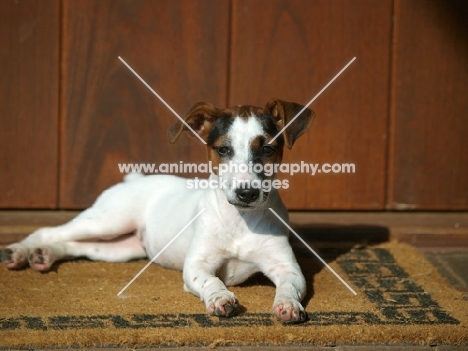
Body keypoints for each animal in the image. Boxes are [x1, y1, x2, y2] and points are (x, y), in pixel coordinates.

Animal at [2, 99, 314, 324]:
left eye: (268, 150)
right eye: (223, 150)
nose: (247, 193)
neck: (241, 221)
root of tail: (135, 179)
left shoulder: (288, 268)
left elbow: (289, 286)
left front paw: (287, 305)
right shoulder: (196, 265)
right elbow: (211, 280)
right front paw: (220, 298)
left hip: (120, 249)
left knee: (74, 245)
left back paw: (44, 255)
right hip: (108, 220)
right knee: (49, 231)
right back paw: (19, 252)